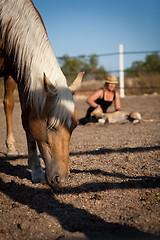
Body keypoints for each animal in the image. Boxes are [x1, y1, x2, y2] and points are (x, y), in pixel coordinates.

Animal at [0, 0, 84, 188]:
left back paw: (11, 148)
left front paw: (36, 171)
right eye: (51, 126)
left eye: (75, 126)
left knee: (8, 104)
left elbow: (26, 122)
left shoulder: (22, 75)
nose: (61, 179)